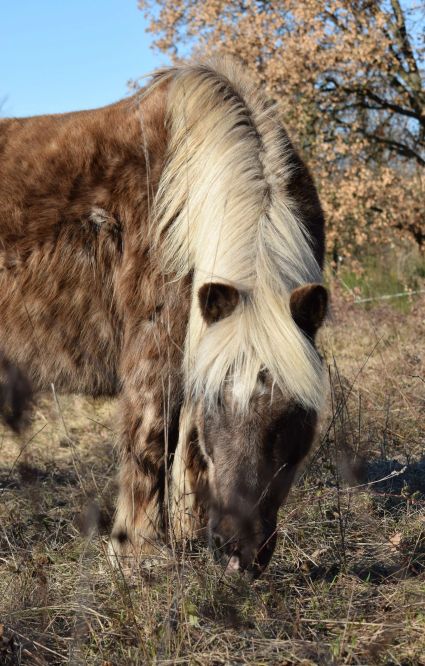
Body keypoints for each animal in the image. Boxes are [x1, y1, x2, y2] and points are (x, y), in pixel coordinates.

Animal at [0, 58, 326, 576]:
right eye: (218, 404)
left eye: (292, 413)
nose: (240, 550)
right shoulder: (156, 346)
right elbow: (152, 438)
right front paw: (139, 553)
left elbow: (189, 445)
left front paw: (188, 532)